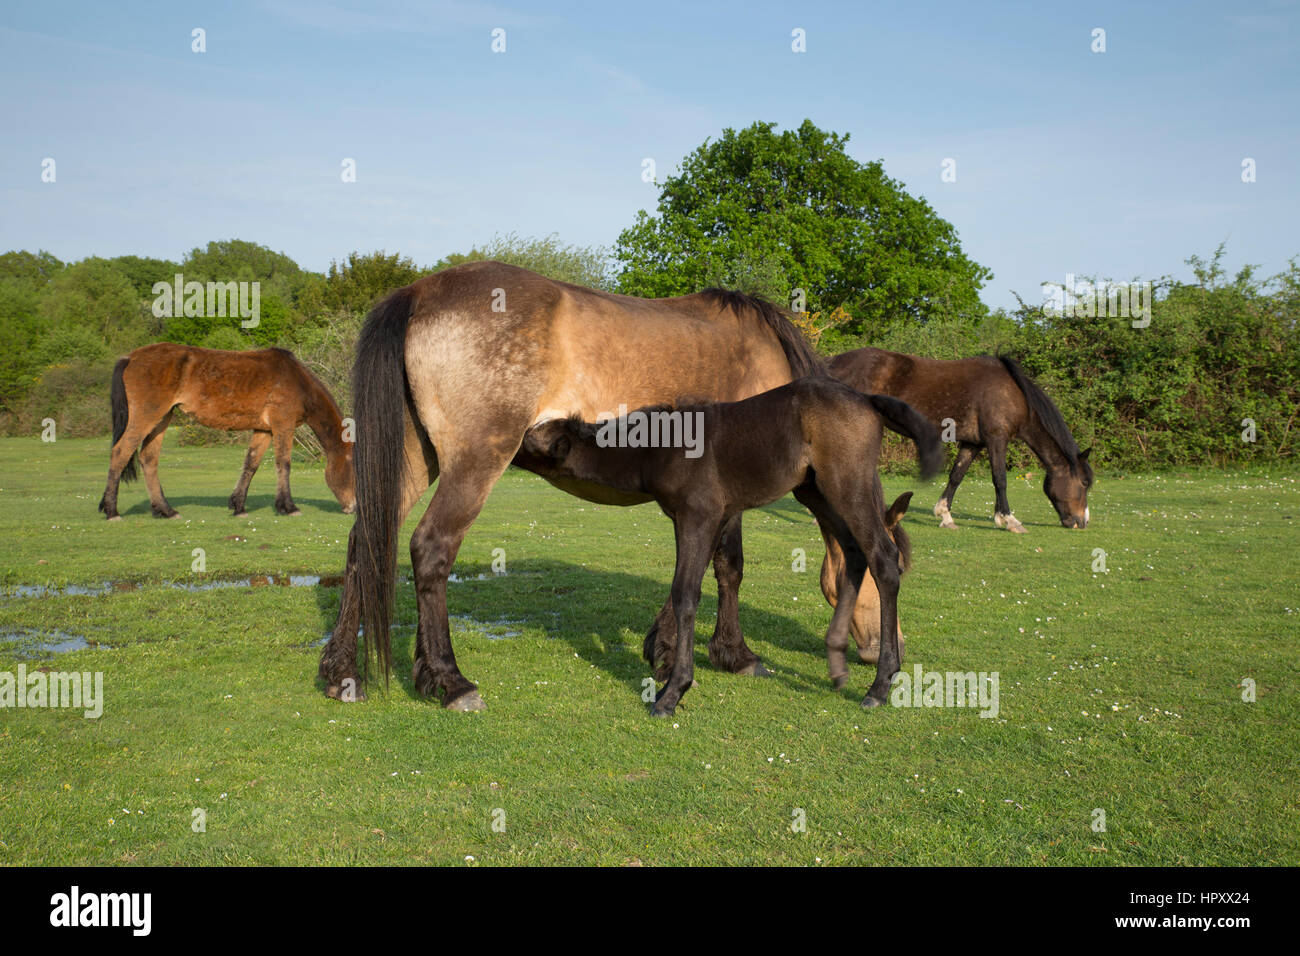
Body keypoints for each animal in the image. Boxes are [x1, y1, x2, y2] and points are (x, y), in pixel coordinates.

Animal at [97, 343, 356, 520]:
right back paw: (111, 511)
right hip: (146, 417)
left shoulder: (264, 430)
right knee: (120, 453)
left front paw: (238, 506)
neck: (296, 380)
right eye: (354, 471)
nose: (353, 507)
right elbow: (283, 464)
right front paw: (288, 507)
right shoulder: (283, 425)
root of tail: (131, 357)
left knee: (148, 459)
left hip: (162, 418)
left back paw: (165, 510)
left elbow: (251, 464)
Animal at [319, 261, 821, 712]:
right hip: (475, 463)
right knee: (431, 548)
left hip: (413, 460)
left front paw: (668, 648)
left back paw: (343, 673)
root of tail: (421, 292)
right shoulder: (724, 497)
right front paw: (729, 653)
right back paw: (452, 681)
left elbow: (704, 568)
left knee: (366, 541)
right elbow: (724, 566)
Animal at [522, 377, 941, 712]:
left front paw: (672, 691)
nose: (509, 444)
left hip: (846, 484)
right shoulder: (711, 517)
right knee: (853, 555)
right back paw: (837, 664)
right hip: (814, 490)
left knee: (882, 557)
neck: (659, 446)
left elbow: (686, 592)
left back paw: (880, 686)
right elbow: (716, 574)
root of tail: (868, 399)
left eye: (530, 440)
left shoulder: (699, 515)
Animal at [826, 348, 1092, 530]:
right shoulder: (997, 439)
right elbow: (1000, 479)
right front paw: (1008, 520)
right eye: (1084, 483)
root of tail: (832, 364)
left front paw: (945, 515)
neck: (1012, 393)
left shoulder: (973, 444)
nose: (1082, 522)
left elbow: (956, 476)